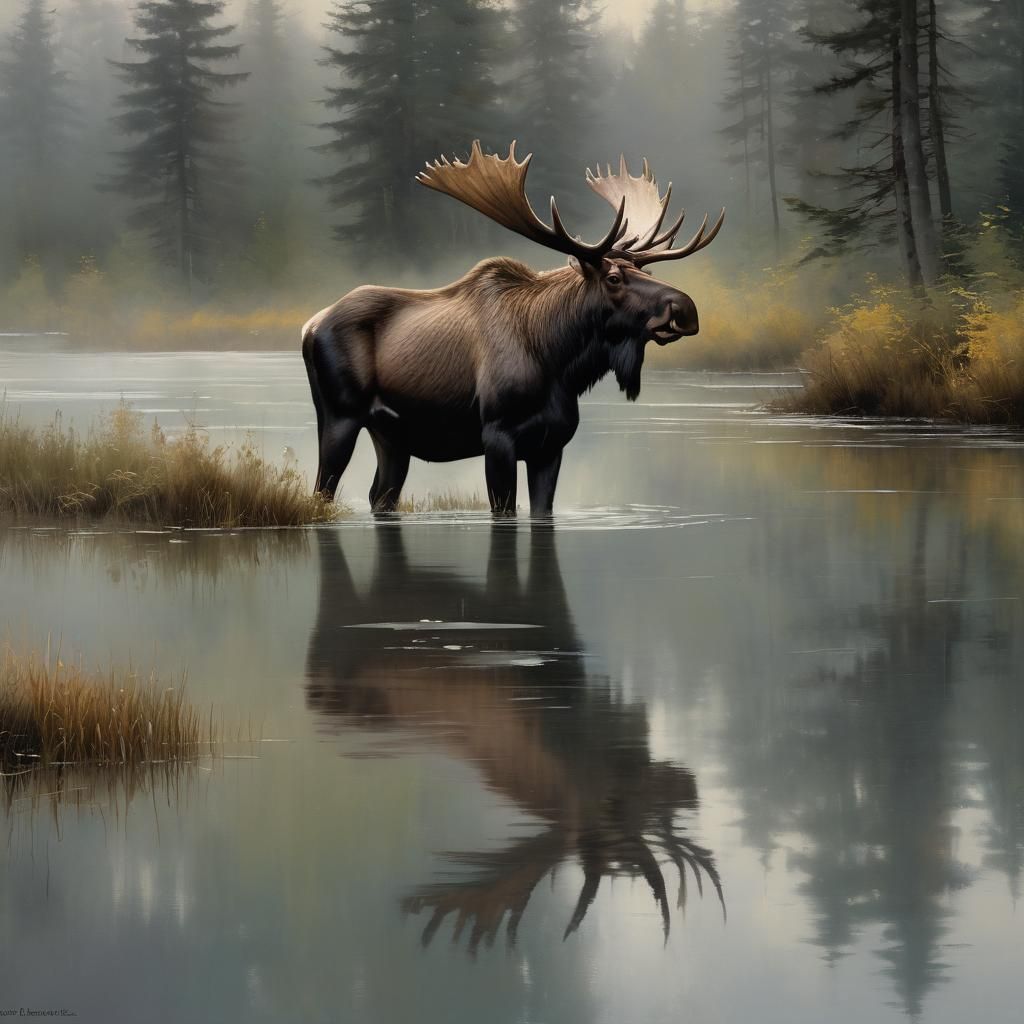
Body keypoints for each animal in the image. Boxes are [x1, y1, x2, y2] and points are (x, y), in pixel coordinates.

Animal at [302, 142, 724, 515]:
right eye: (615, 278)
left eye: (646, 272)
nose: (686, 309)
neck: (558, 362)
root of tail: (310, 325)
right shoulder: (497, 436)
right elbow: (504, 511)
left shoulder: (551, 445)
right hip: (341, 415)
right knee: (322, 489)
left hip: (392, 436)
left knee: (380, 496)